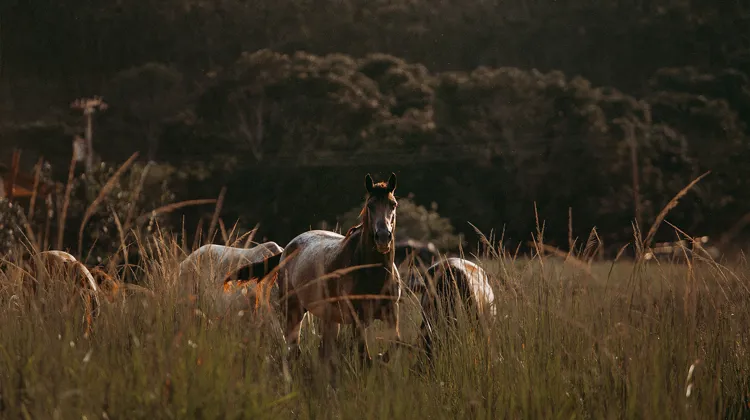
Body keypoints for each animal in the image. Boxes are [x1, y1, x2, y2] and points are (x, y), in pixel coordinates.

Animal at [235, 172, 403, 368]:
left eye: (393, 204)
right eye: (370, 205)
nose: (383, 237)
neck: (371, 272)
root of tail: (286, 249)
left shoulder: (391, 312)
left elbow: (395, 345)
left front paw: (381, 358)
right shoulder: (358, 318)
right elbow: (364, 356)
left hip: (328, 318)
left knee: (324, 351)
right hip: (293, 310)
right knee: (294, 348)